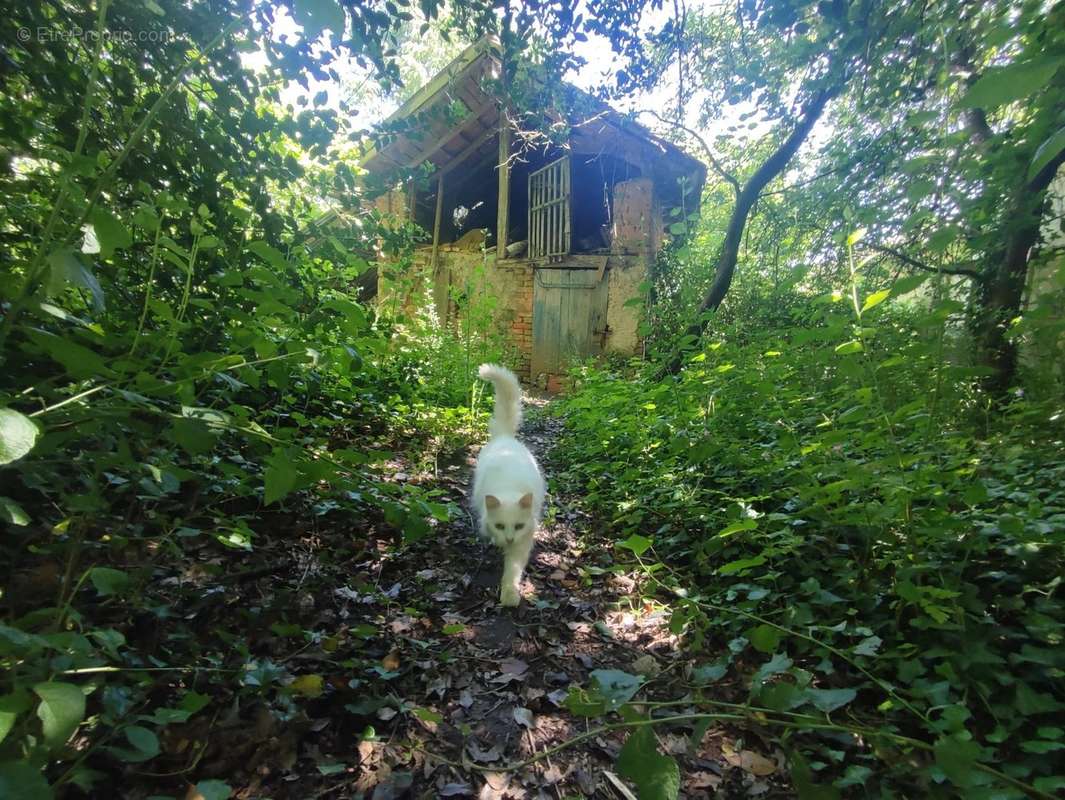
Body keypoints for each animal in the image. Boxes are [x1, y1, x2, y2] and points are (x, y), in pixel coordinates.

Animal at [472, 362, 545, 605]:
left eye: (519, 526)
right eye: (501, 526)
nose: (510, 539)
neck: (509, 488)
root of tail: (505, 438)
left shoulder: (525, 538)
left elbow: (513, 569)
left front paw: (510, 594)